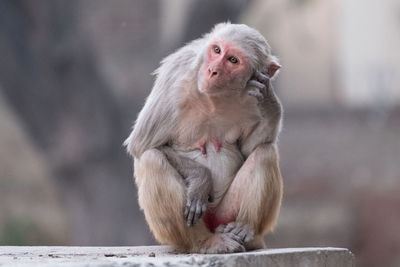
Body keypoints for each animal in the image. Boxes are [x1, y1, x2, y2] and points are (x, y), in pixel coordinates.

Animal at [123, 22, 282, 253]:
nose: (212, 70)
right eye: (216, 50)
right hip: (176, 230)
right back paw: (204, 241)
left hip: (225, 214)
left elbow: (251, 147)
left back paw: (245, 229)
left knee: (265, 153)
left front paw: (269, 98)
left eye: (233, 60)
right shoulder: (176, 75)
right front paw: (200, 179)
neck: (217, 98)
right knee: (152, 159)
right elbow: (141, 144)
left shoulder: (253, 95)